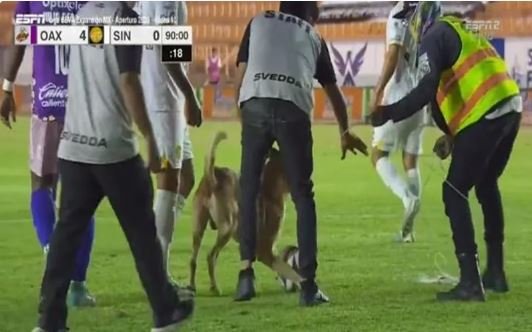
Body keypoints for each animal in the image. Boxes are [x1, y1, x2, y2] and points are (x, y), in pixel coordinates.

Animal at [189, 131, 302, 294]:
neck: (270, 188)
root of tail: (214, 177)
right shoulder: (265, 249)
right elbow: (289, 271)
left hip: (198, 229)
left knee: (193, 259)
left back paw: (192, 286)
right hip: (227, 229)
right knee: (211, 256)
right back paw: (215, 288)